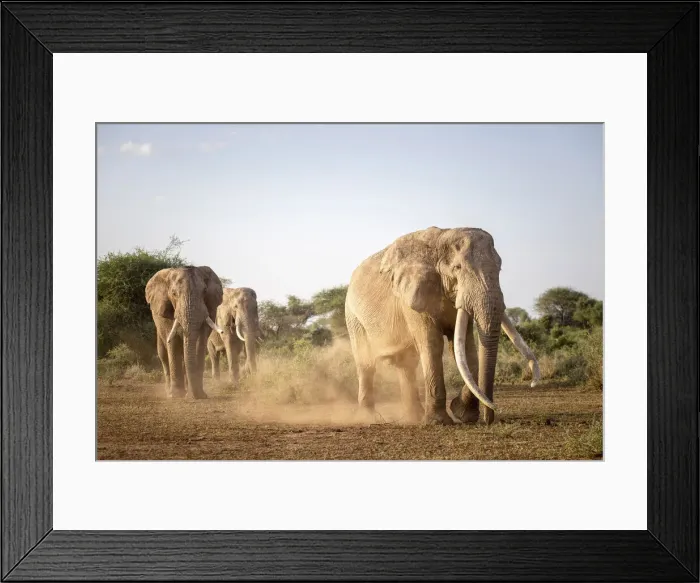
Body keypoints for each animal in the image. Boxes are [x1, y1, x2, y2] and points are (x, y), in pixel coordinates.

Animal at [145, 265, 224, 399]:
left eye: (204, 291)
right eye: (173, 293)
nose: (194, 396)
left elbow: (200, 341)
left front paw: (200, 395)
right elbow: (172, 341)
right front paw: (177, 395)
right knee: (163, 354)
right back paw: (169, 392)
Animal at [344, 226, 540, 426]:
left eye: (499, 267)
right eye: (457, 268)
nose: (489, 419)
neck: (442, 237)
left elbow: (465, 348)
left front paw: (463, 414)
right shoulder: (412, 298)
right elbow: (432, 344)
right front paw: (439, 421)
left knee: (406, 364)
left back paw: (413, 417)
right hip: (352, 316)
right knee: (366, 363)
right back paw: (370, 417)